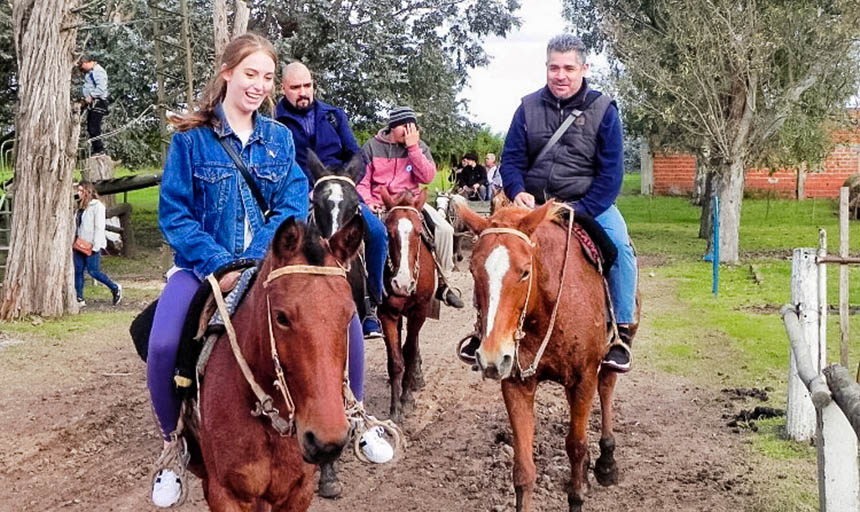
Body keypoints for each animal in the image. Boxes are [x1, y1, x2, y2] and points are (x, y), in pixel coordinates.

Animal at [460, 203, 636, 512]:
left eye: (524, 271)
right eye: (473, 269)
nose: (492, 356)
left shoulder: (584, 378)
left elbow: (576, 445)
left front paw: (577, 497)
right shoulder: (516, 383)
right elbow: (523, 469)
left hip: (605, 363)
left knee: (606, 390)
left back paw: (606, 462)